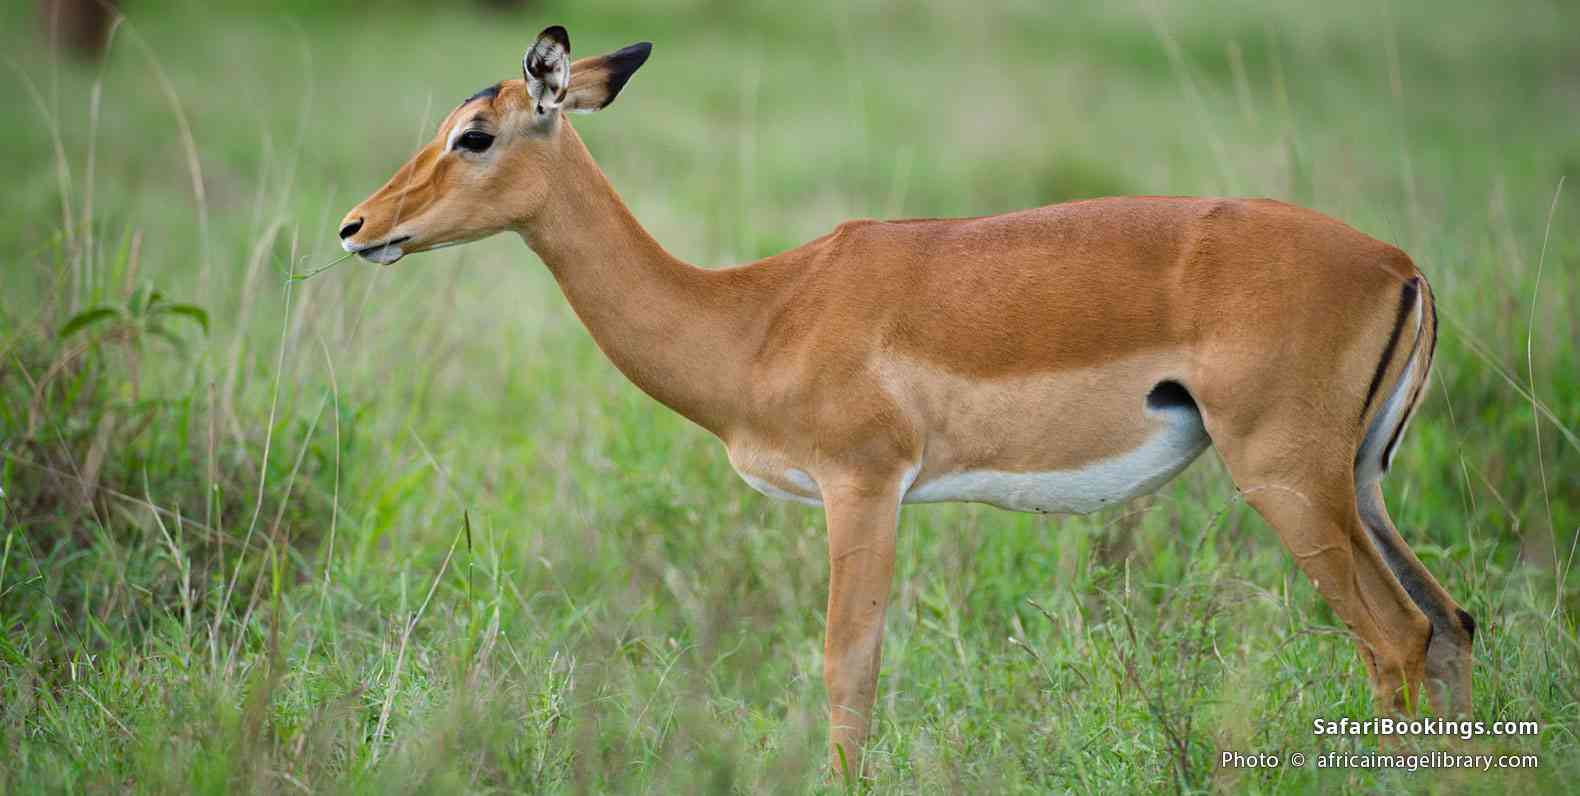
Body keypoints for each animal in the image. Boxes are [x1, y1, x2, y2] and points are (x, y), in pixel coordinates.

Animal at [339, 26, 1475, 775]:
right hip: (1358, 484)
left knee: (1393, 639)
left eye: (475, 134)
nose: (356, 227)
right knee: (1450, 623)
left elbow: (847, 678)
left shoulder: (863, 486)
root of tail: (1400, 264)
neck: (758, 316)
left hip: (1286, 481)